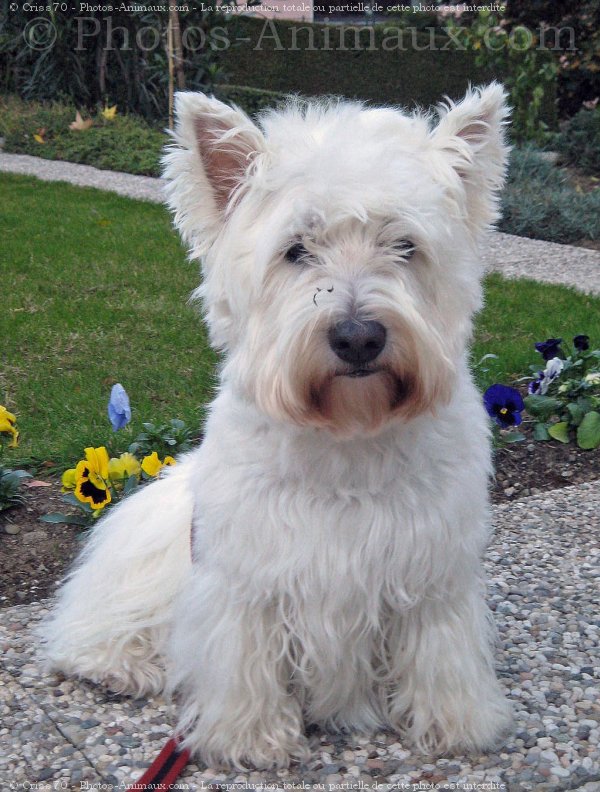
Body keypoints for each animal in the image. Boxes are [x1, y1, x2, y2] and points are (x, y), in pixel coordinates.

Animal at [43, 85, 510, 768]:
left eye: (405, 246)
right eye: (296, 250)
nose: (358, 337)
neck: (347, 438)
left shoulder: (432, 571)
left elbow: (437, 649)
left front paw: (453, 720)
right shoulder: (249, 578)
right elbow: (246, 655)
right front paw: (251, 736)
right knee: (101, 624)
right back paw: (122, 664)